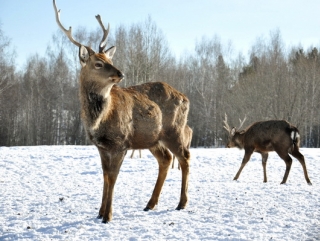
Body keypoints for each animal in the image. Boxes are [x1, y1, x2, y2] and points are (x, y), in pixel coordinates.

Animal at [53, 0, 191, 223]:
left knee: (184, 158)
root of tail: (185, 97)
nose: (121, 73)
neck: (99, 121)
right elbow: (105, 176)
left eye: (109, 60)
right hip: (152, 138)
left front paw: (108, 215)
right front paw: (99, 212)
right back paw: (150, 204)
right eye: (98, 63)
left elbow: (113, 176)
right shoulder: (101, 146)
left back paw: (181, 203)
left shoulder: (121, 142)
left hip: (175, 130)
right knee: (166, 159)